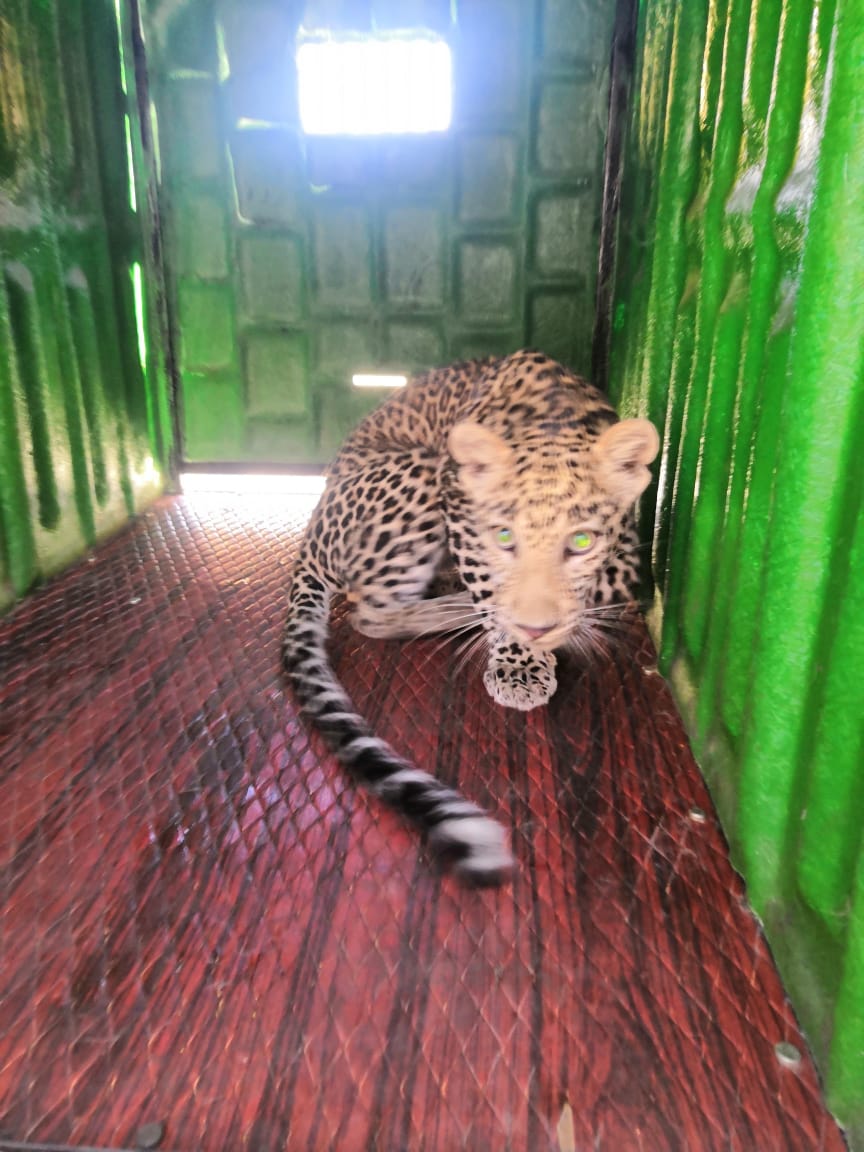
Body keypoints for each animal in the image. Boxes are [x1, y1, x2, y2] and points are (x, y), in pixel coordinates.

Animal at [282, 350, 659, 886]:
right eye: (502, 537)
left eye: (581, 541)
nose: (538, 629)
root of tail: (310, 534)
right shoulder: (458, 504)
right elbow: (493, 590)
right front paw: (520, 663)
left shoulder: (626, 548)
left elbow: (608, 582)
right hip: (416, 474)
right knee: (369, 611)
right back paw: (454, 607)